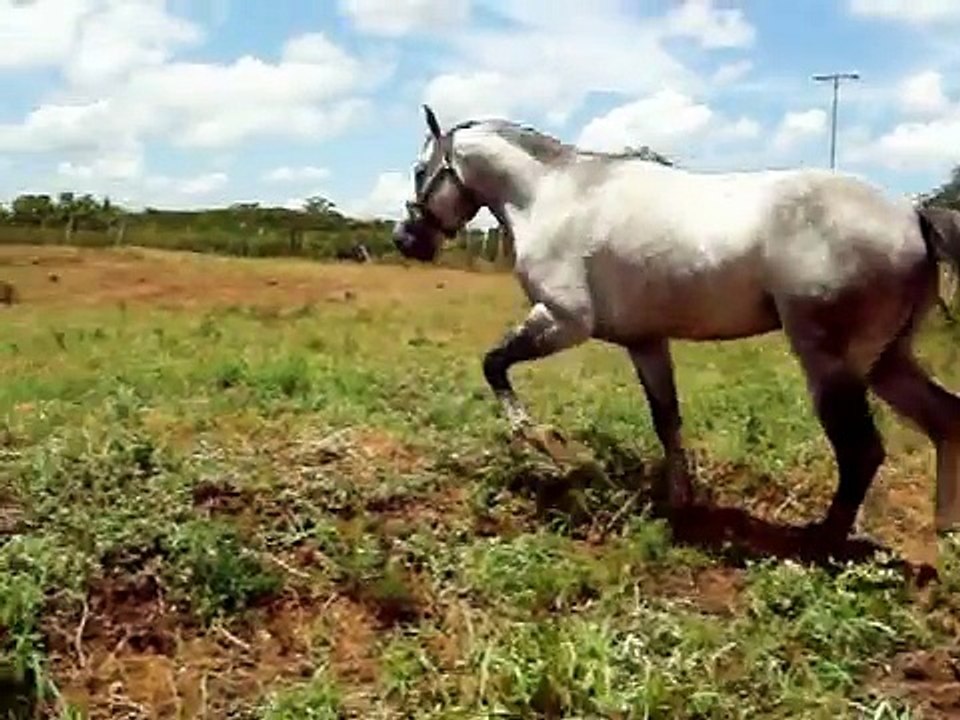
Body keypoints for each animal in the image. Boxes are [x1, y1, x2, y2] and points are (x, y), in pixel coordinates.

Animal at [392, 104, 960, 548]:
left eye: (421, 170)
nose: (406, 239)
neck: (555, 195)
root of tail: (911, 215)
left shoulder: (565, 321)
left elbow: (494, 364)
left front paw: (539, 438)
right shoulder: (645, 342)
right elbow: (667, 418)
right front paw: (680, 502)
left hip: (833, 365)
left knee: (862, 451)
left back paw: (821, 541)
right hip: (887, 361)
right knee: (944, 421)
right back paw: (942, 527)